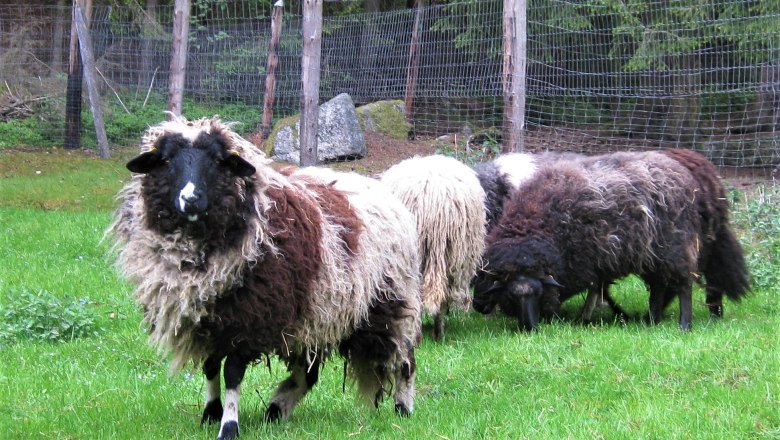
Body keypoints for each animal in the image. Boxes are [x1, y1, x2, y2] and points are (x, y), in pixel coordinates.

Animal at [107, 117, 424, 440]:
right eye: (167, 160)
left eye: (218, 161)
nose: (191, 199)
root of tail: (381, 189)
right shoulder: (211, 319)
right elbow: (211, 366)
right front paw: (210, 413)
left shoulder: (248, 317)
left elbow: (232, 373)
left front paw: (229, 426)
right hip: (318, 311)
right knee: (308, 372)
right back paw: (276, 409)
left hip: (390, 300)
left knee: (404, 359)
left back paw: (403, 407)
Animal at [476, 150, 748, 330]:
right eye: (511, 295)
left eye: (537, 293)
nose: (529, 327)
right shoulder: (597, 262)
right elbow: (600, 289)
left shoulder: (589, 260)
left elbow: (597, 289)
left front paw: (588, 317)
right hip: (652, 253)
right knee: (660, 286)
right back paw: (652, 319)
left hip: (676, 247)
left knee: (684, 285)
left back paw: (685, 324)